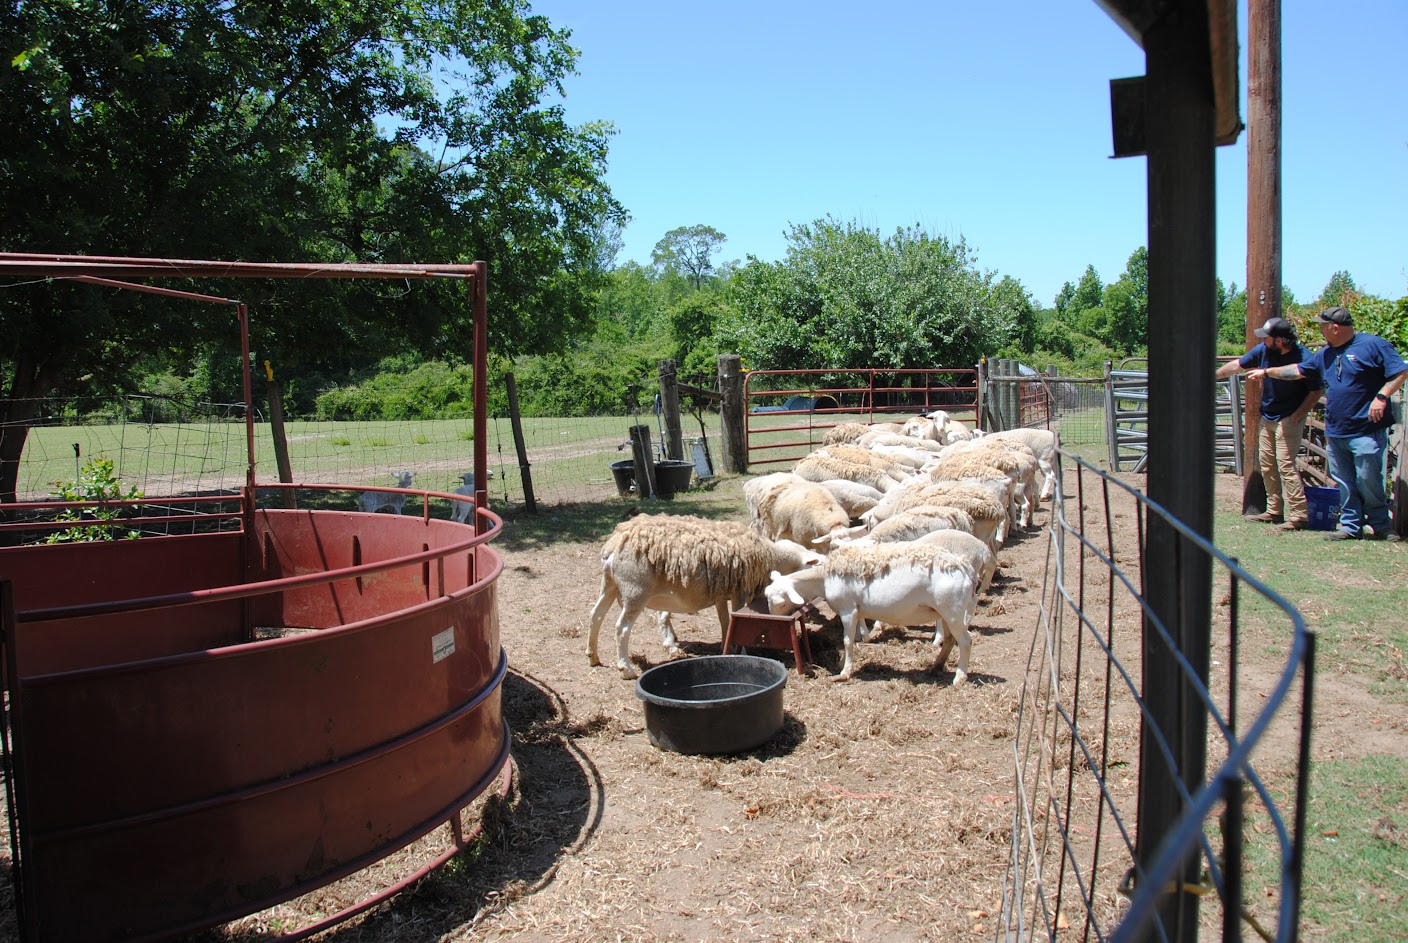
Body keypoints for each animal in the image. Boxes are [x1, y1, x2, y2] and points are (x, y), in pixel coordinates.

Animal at [585, 517, 822, 681]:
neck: (770, 557)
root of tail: (613, 546)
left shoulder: (721, 594)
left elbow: (726, 622)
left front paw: (727, 647)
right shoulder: (739, 591)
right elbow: (736, 619)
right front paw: (742, 651)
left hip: (610, 585)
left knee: (596, 615)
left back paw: (593, 656)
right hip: (635, 590)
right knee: (621, 628)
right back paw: (625, 668)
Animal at [765, 543, 974, 684]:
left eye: (780, 603)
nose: (777, 621)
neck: (822, 578)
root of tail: (964, 568)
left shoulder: (848, 610)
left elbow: (847, 641)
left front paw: (845, 672)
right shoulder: (856, 611)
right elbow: (852, 638)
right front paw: (844, 662)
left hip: (953, 610)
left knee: (965, 641)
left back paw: (960, 677)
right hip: (946, 612)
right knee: (950, 639)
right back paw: (936, 666)